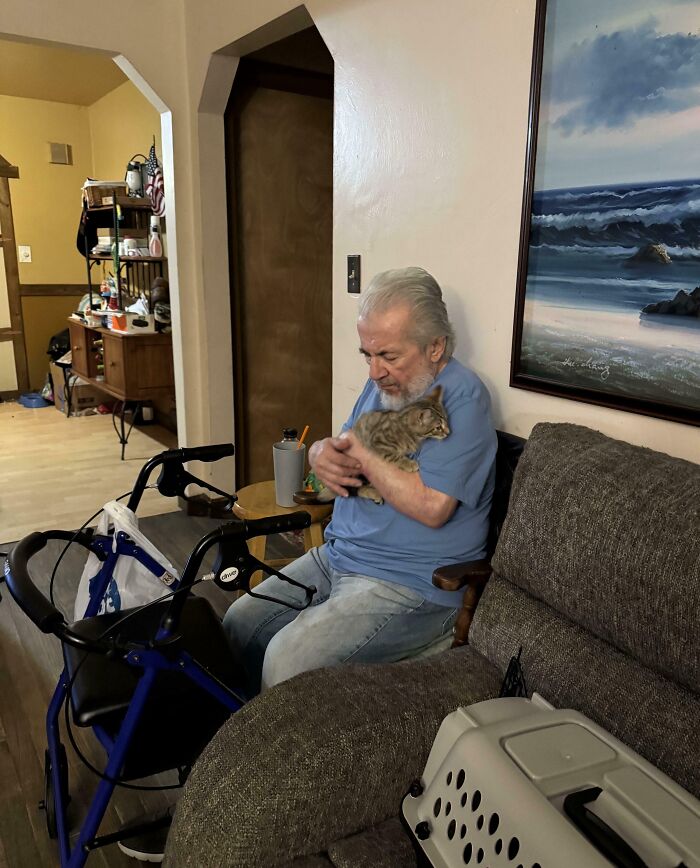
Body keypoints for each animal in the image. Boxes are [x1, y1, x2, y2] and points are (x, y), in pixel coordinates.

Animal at [316, 384, 448, 506]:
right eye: (438, 427)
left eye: (446, 420)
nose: (448, 432)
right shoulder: (377, 442)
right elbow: (394, 455)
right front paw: (408, 463)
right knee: (354, 489)